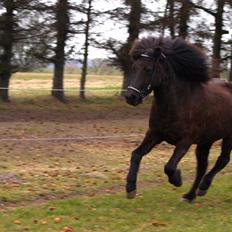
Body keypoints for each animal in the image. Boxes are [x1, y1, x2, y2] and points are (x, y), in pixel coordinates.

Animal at [124, 36, 232, 201]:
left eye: (148, 69)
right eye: (134, 68)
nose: (131, 97)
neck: (177, 103)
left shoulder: (185, 141)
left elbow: (169, 166)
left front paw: (177, 179)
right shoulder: (154, 134)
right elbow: (136, 154)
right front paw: (130, 188)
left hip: (228, 137)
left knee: (222, 160)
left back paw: (203, 187)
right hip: (206, 141)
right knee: (202, 166)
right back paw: (190, 195)